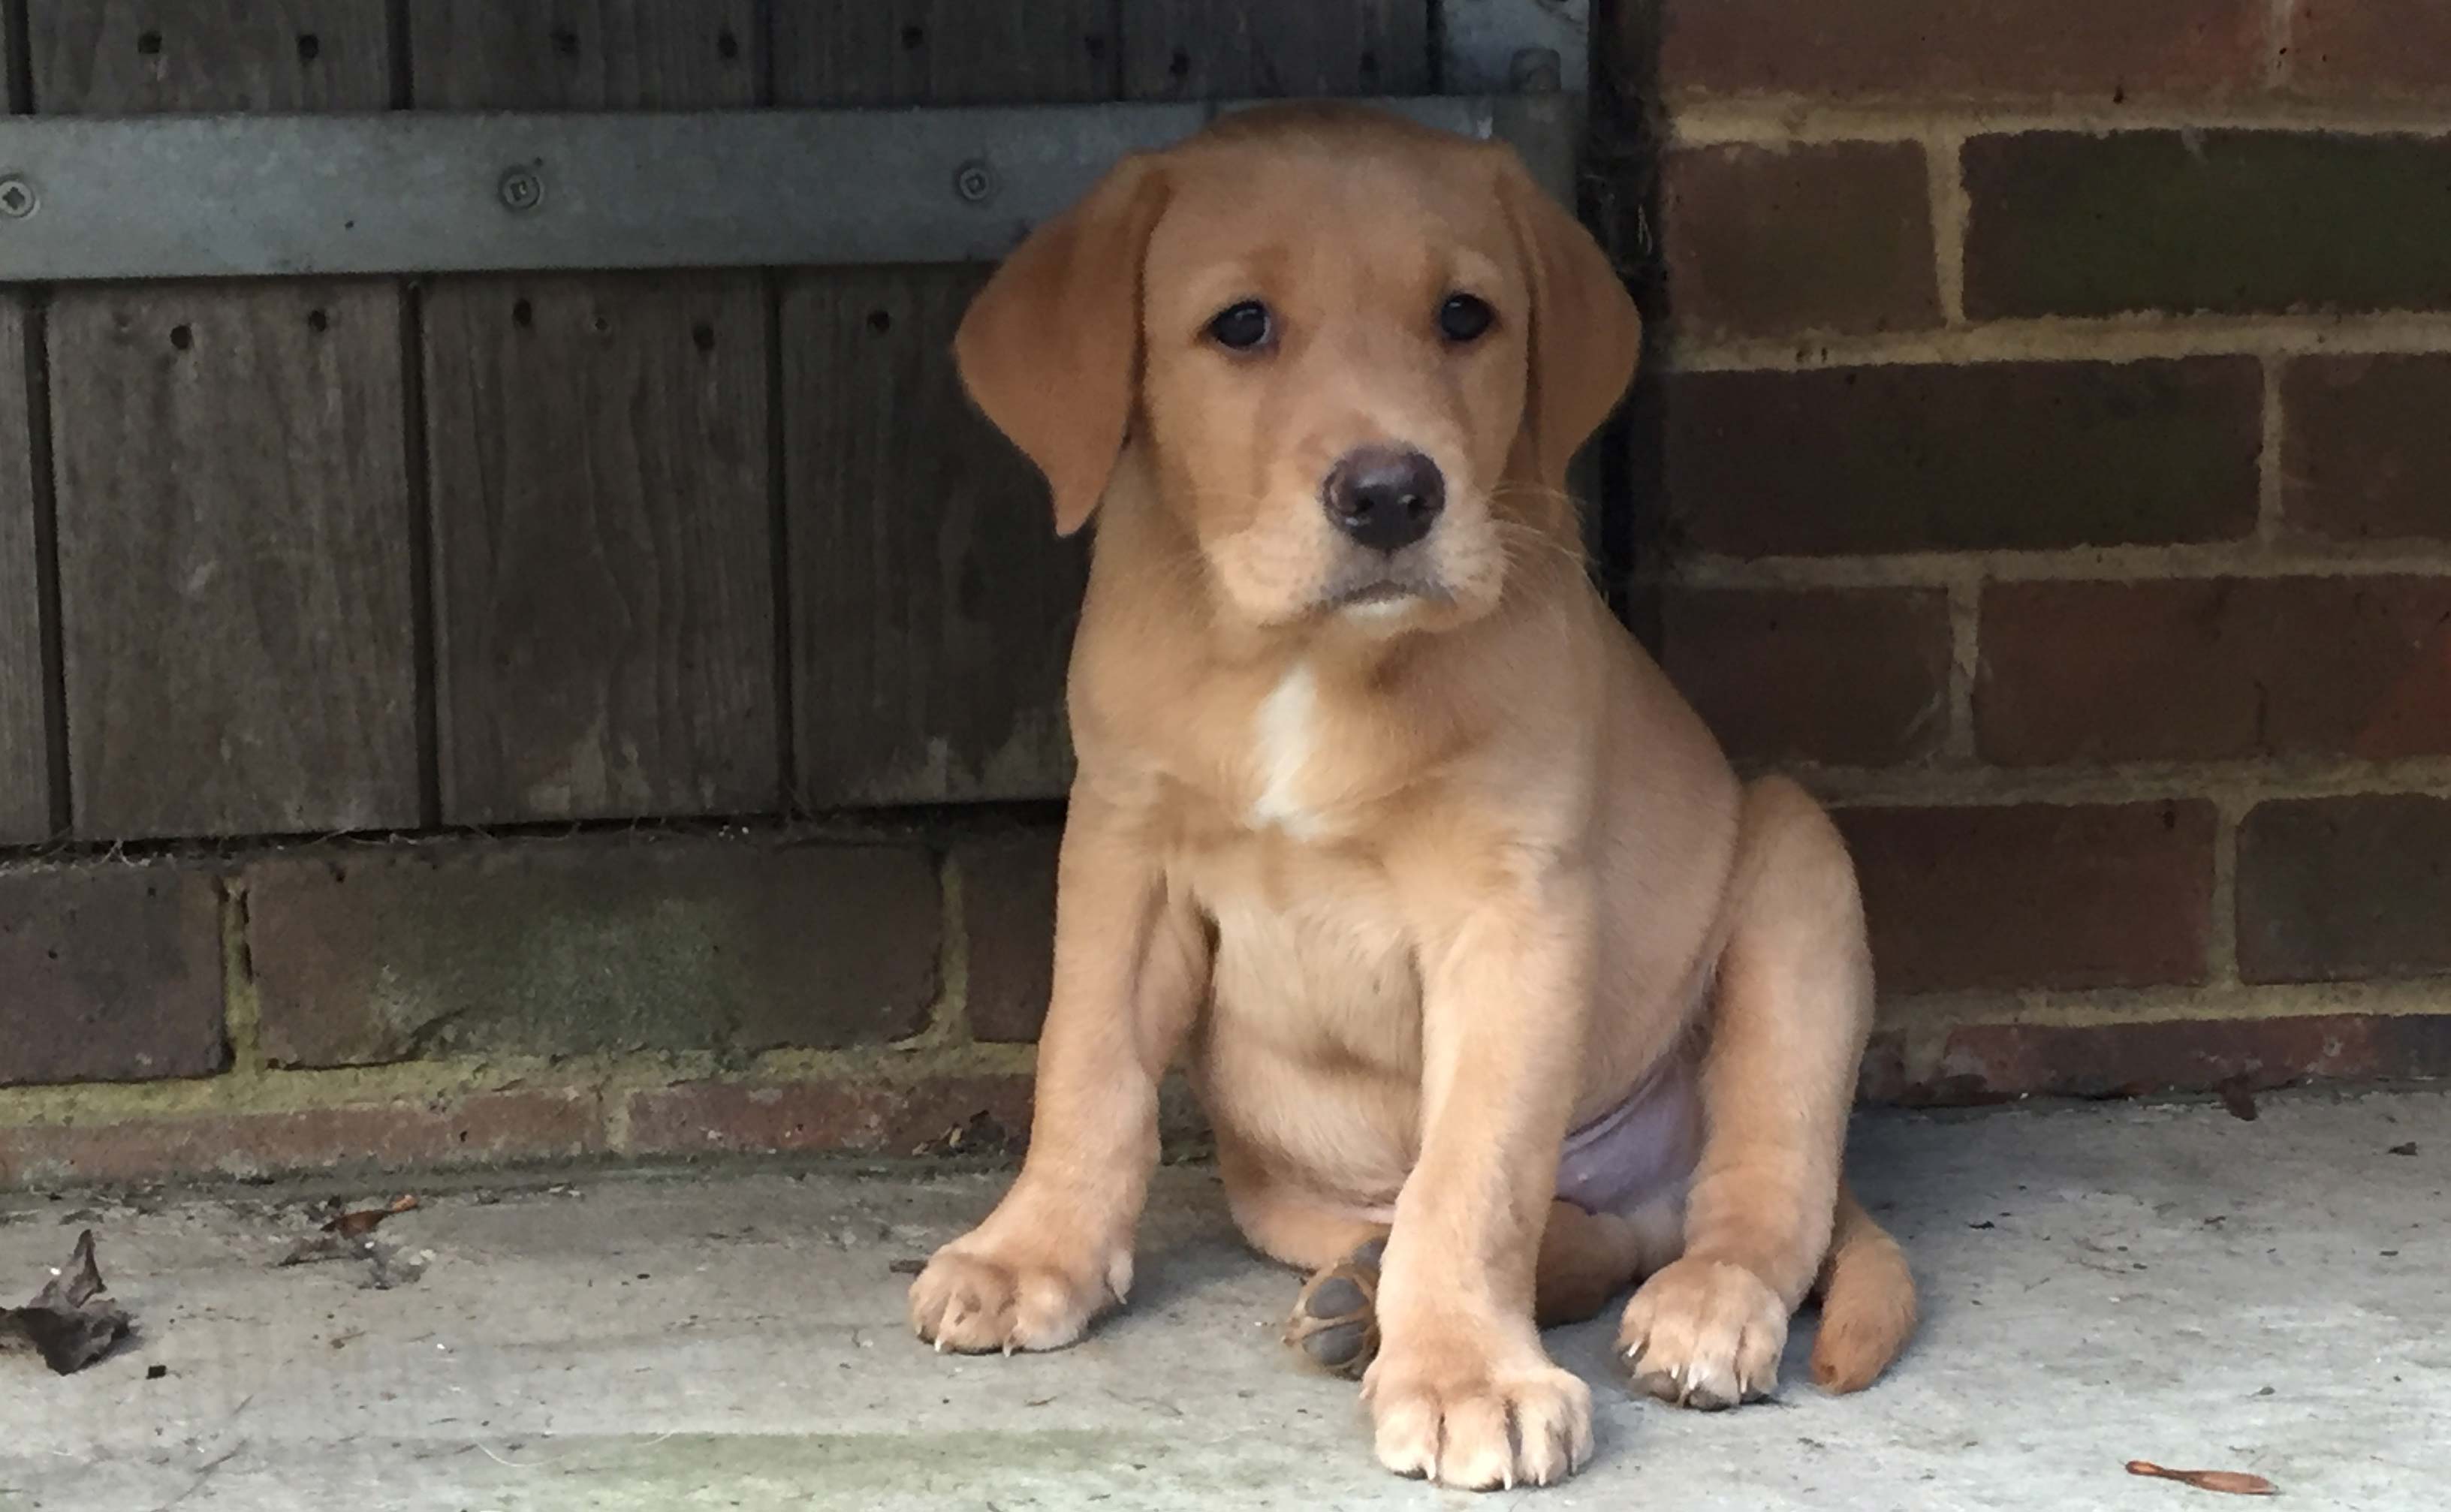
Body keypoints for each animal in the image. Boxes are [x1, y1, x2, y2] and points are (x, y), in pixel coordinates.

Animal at [902, 103, 1911, 1489]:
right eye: (1240, 325)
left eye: (1464, 316)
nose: (1391, 494)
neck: (1307, 662)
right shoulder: (1121, 848)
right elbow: (1086, 1065)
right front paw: (1030, 1251)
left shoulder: (1510, 912)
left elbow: (1476, 1171)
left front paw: (1466, 1375)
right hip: (1293, 1183)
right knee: (1581, 1228)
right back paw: (1364, 1292)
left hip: (1795, 873)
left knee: (1755, 1192)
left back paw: (1698, 1303)